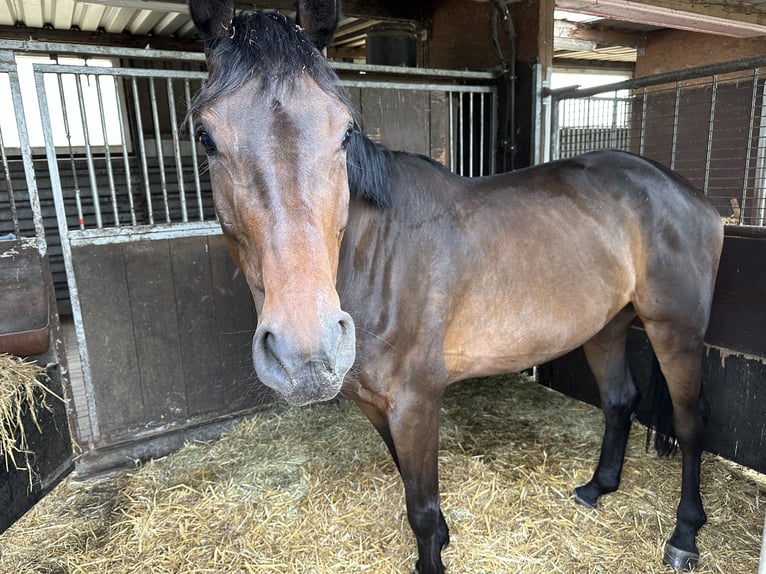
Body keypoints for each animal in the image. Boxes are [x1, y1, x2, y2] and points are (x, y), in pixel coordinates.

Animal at [188, 2, 728, 572]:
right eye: (205, 136)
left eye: (345, 133)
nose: (307, 353)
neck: (378, 256)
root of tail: (691, 194)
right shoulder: (377, 405)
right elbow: (410, 485)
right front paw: (444, 538)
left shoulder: (417, 402)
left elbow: (421, 508)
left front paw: (435, 552)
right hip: (607, 324)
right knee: (621, 400)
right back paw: (597, 488)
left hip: (676, 331)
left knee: (691, 421)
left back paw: (685, 535)